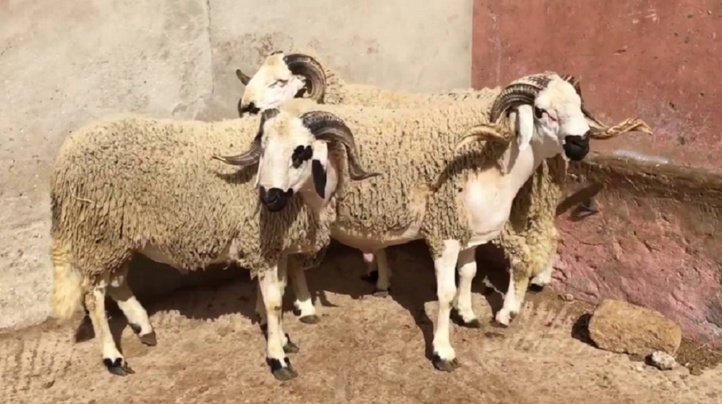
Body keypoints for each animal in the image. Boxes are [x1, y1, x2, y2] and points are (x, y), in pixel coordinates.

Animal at [49, 110, 375, 380]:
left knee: (115, 283)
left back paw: (144, 328)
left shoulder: (274, 246)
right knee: (93, 296)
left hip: (118, 238)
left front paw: (280, 337)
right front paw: (278, 359)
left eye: (301, 152)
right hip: (97, 234)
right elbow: (273, 302)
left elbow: (278, 293)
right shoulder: (262, 245)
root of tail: (67, 151)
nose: (268, 197)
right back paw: (114, 358)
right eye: (264, 149)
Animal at [216, 72, 651, 371]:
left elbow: (469, 274)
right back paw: (285, 319)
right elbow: (442, 293)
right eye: (542, 111)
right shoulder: (443, 233)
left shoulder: (469, 232)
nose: (580, 144)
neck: (495, 164)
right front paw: (443, 350)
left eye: (579, 105)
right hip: (283, 209)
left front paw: (468, 314)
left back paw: (294, 311)